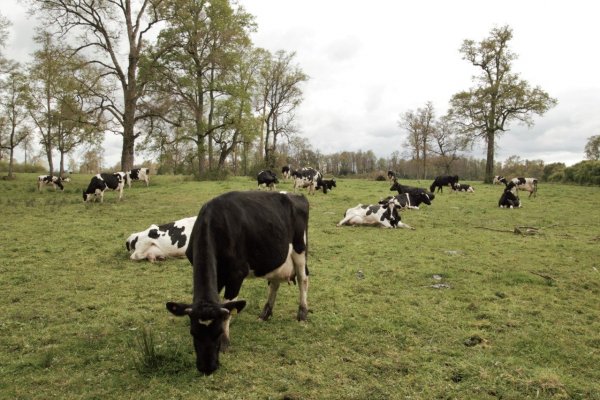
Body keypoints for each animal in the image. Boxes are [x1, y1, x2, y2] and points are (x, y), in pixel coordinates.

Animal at [168, 191, 312, 376]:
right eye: (193, 333)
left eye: (217, 333)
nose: (207, 368)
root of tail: (297, 195)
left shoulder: (236, 275)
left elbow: (228, 308)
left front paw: (225, 342)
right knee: (274, 283)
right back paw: (265, 314)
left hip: (300, 248)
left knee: (303, 279)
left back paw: (302, 313)